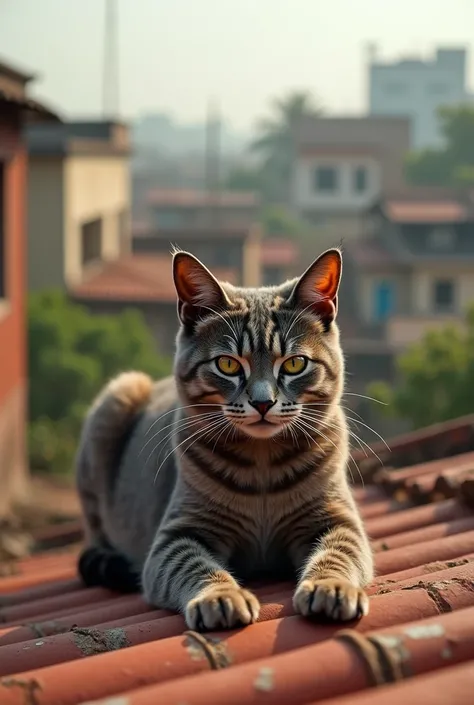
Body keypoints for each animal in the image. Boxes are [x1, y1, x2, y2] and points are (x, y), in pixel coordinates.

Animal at [76, 246, 374, 628]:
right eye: (228, 365)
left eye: (295, 364)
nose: (263, 402)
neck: (262, 462)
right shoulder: (178, 535)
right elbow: (195, 565)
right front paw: (221, 596)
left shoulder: (336, 519)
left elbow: (338, 553)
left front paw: (331, 587)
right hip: (117, 399)